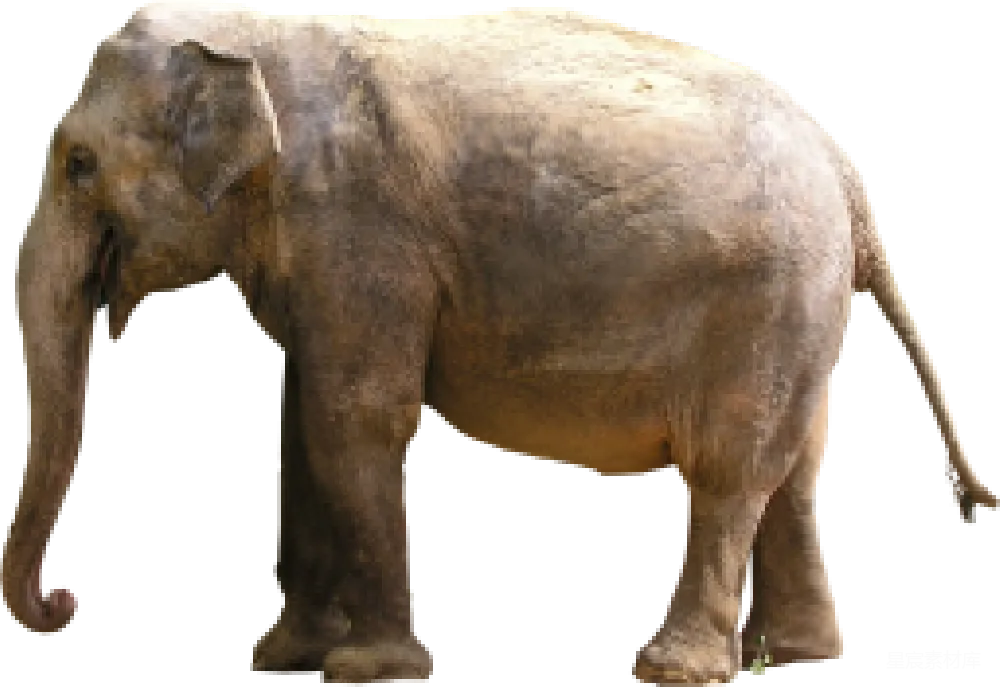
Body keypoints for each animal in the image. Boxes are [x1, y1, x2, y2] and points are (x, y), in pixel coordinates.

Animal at [4, 2, 998, 685]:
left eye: (78, 164)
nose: (67, 600)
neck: (261, 32)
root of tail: (846, 172)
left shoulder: (359, 231)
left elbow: (356, 418)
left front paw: (369, 672)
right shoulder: (318, 263)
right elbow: (303, 422)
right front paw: (285, 660)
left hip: (766, 297)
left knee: (728, 468)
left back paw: (674, 670)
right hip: (798, 309)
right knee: (795, 471)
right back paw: (796, 659)